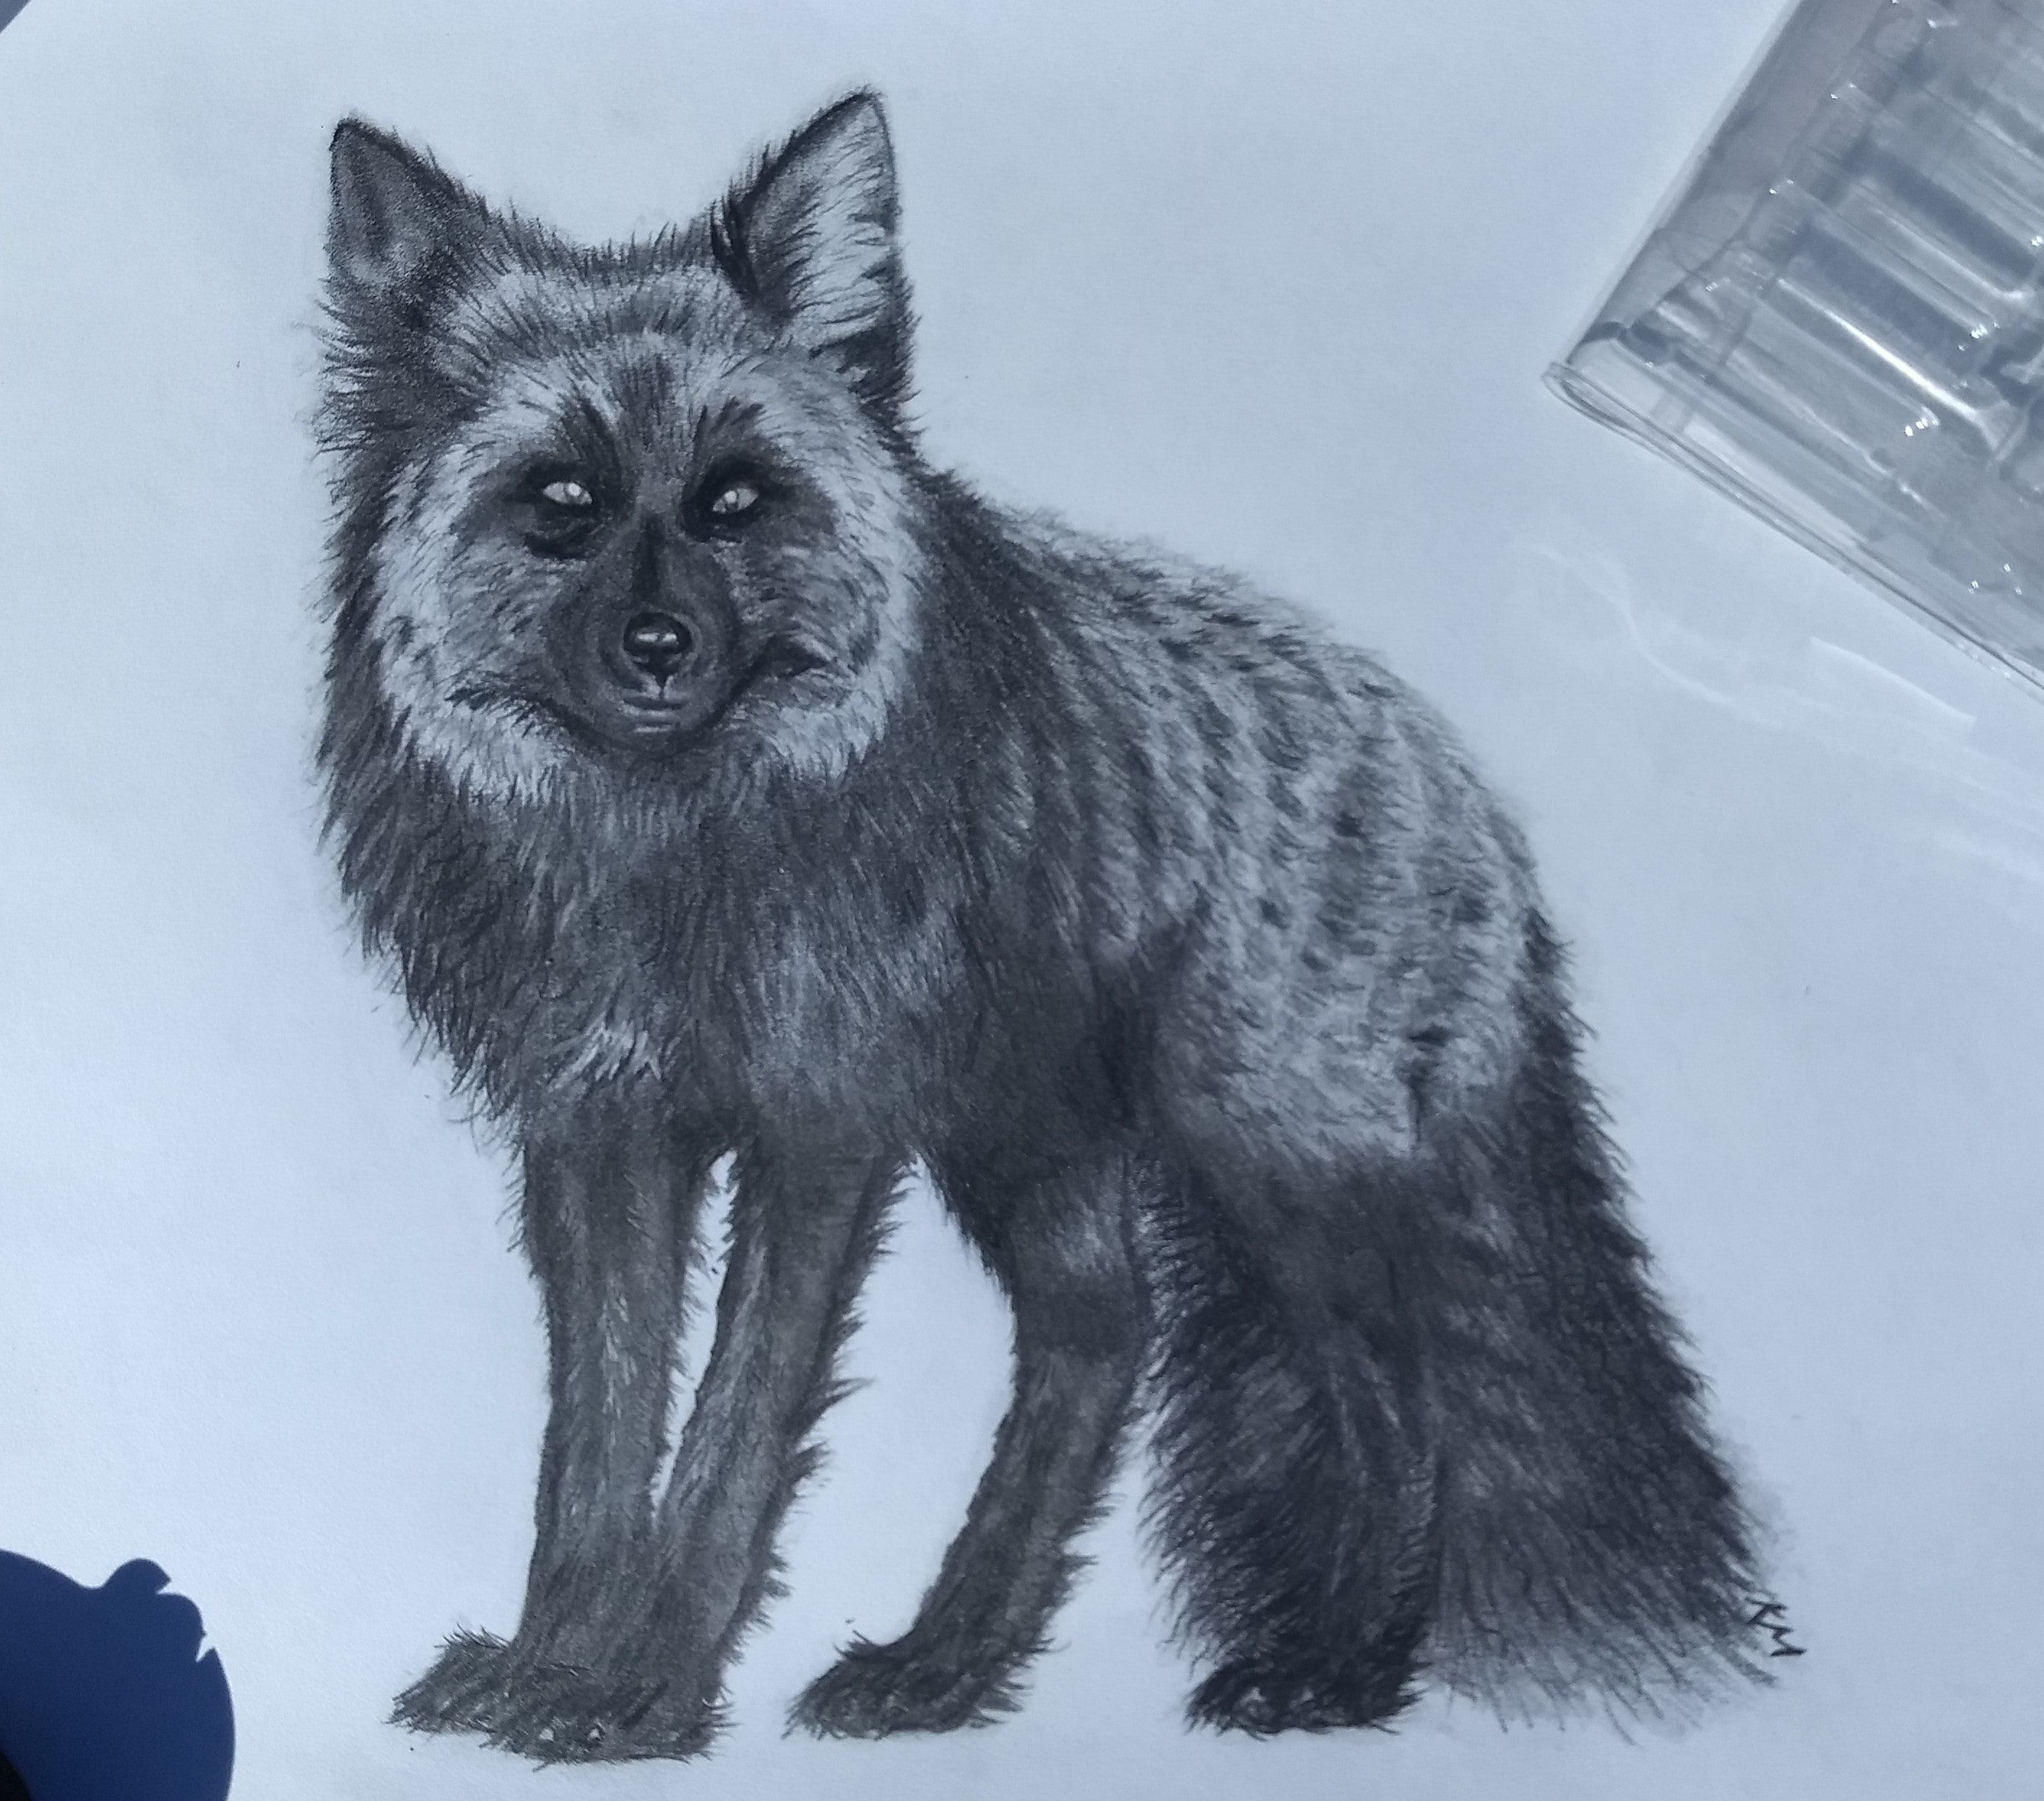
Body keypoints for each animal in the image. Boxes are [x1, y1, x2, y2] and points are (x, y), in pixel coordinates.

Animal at [316, 92, 1767, 1763]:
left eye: (735, 500)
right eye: (561, 505)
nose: (658, 644)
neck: (670, 860)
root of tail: (1469, 804)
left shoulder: (820, 1131)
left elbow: (731, 1443)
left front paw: (645, 1690)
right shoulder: (599, 1130)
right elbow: (594, 1449)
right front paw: (552, 1665)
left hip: (1267, 1172)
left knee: (1405, 1414)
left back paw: (1338, 1671)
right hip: (1031, 1146)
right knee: (1103, 1338)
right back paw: (951, 1663)